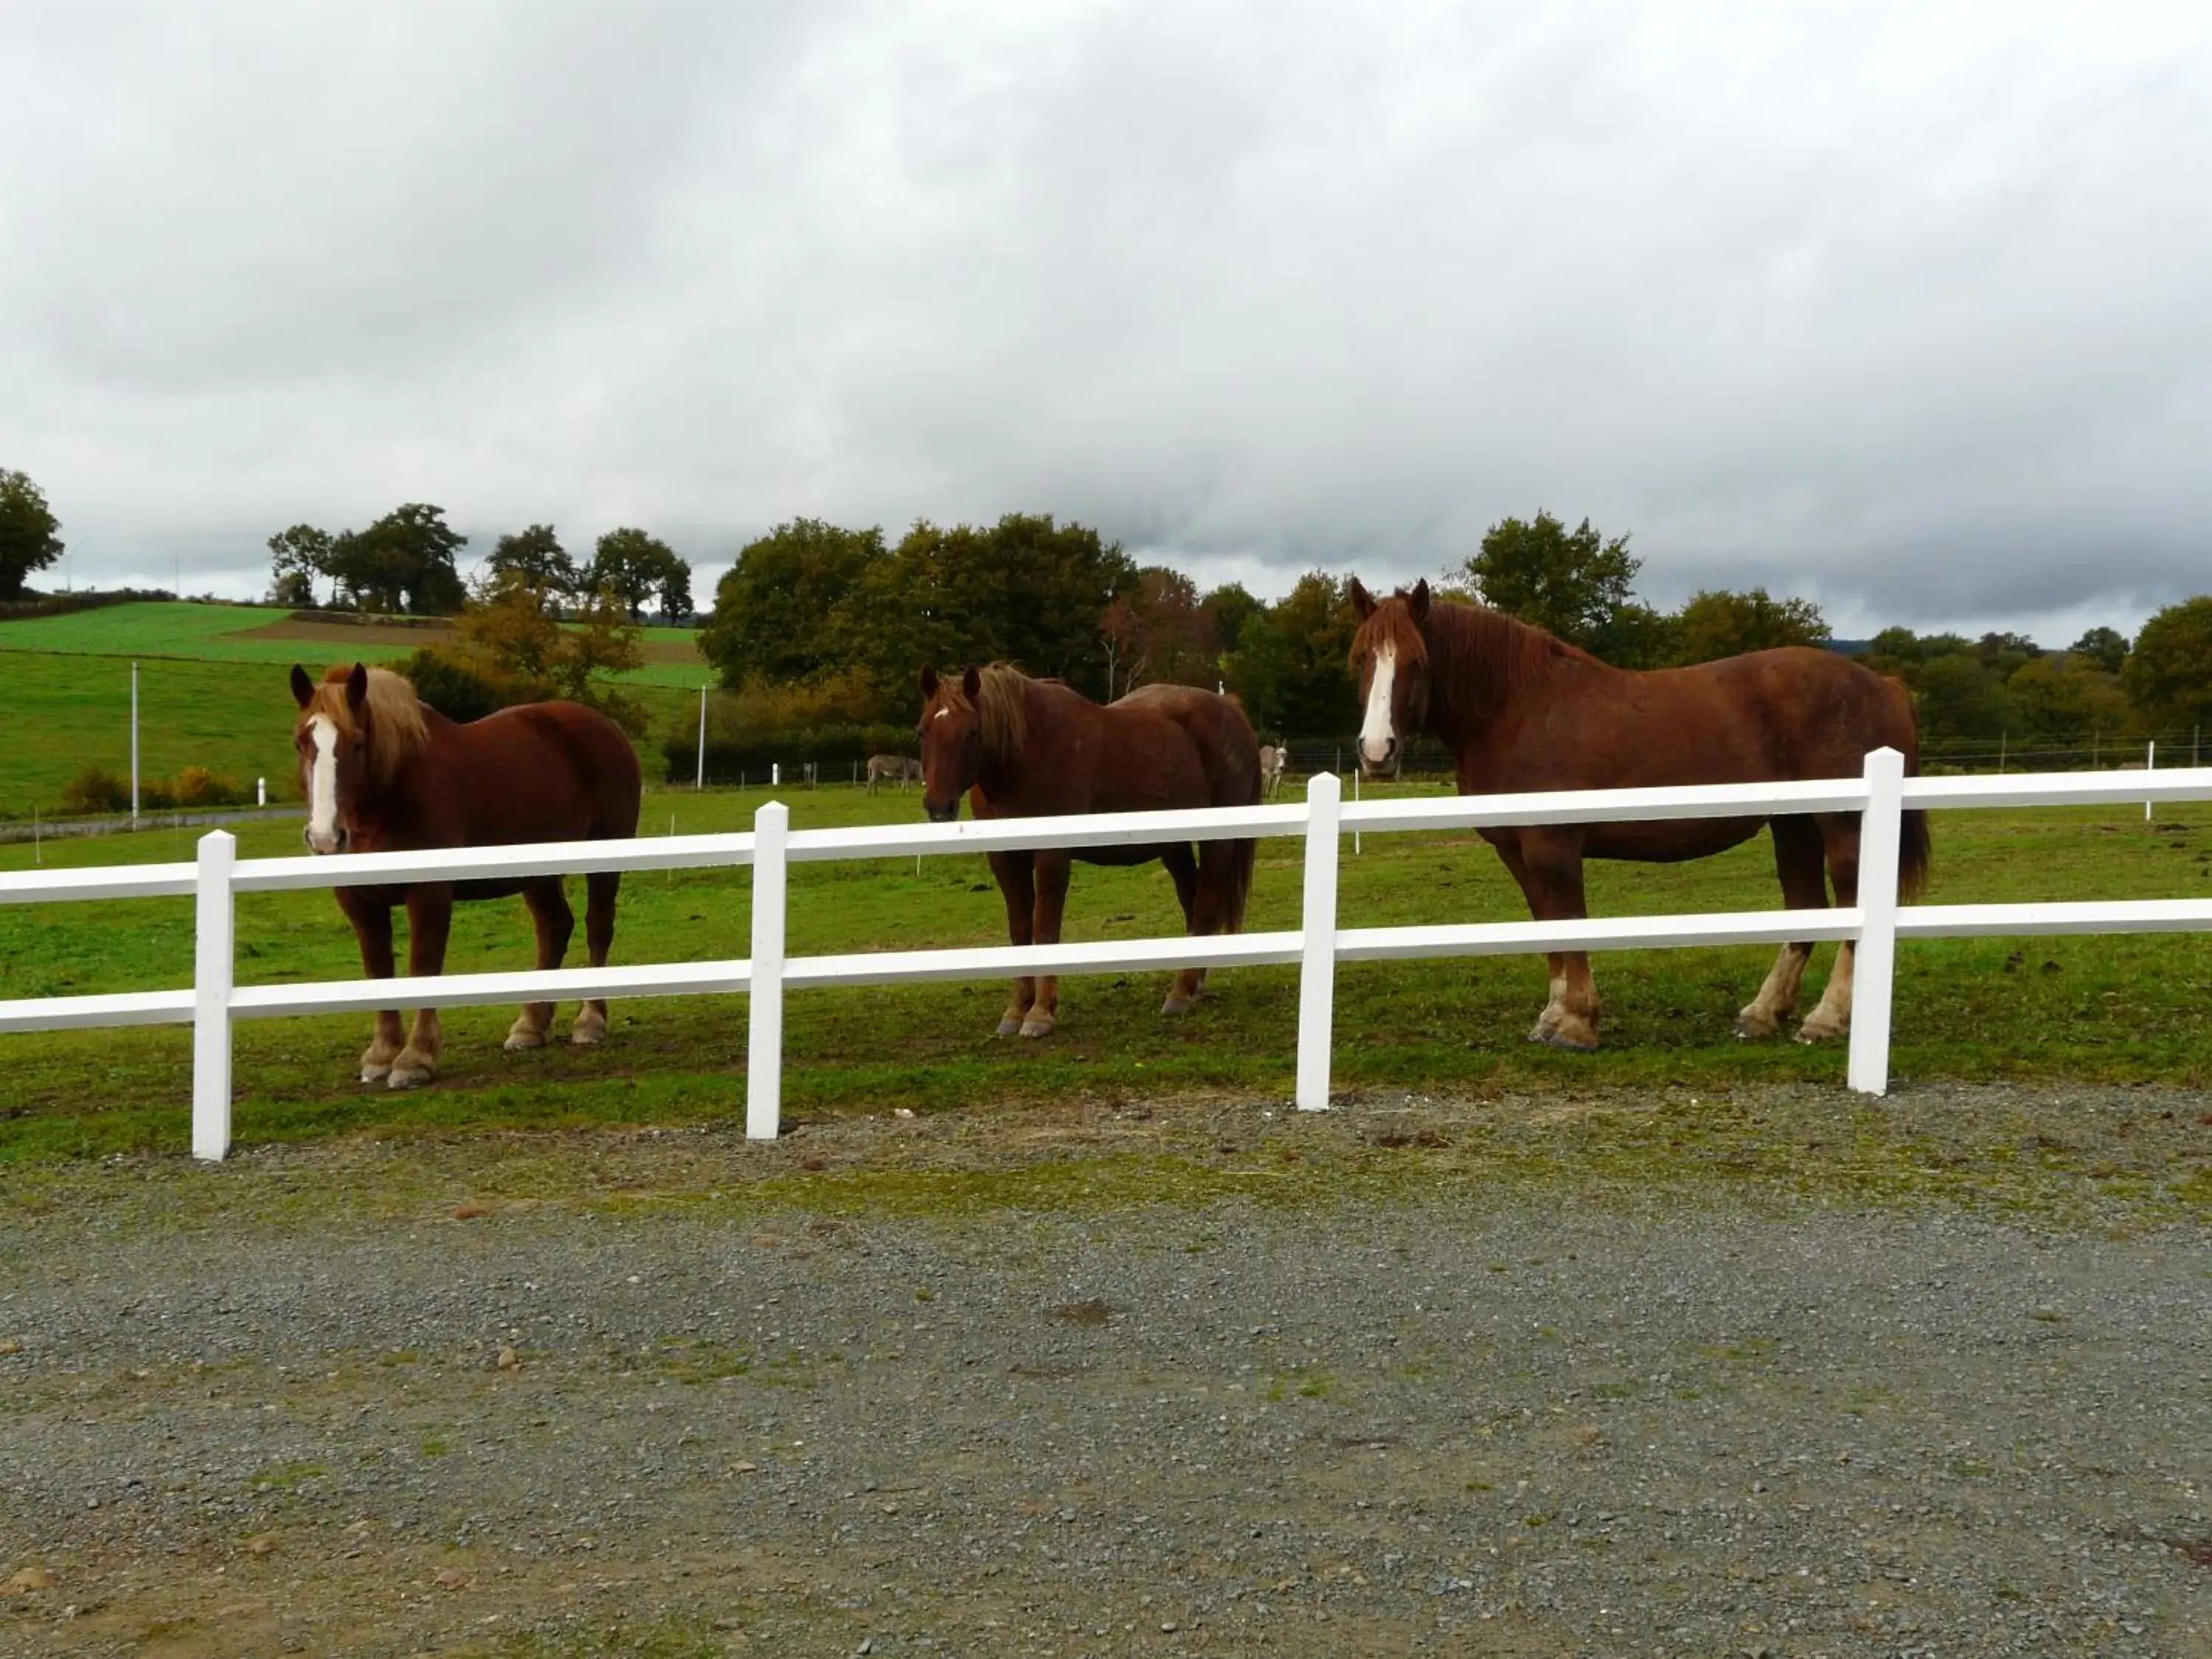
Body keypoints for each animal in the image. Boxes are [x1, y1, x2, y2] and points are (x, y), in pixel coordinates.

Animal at [290, 664, 646, 1093]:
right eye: (301, 743)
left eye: (357, 743)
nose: (325, 838)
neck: (394, 793)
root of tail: (609, 729)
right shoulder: (359, 901)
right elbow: (378, 969)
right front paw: (381, 1055)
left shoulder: (429, 896)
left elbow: (423, 967)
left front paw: (415, 1059)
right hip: (539, 874)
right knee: (555, 928)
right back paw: (530, 1026)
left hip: (604, 861)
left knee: (597, 928)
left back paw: (590, 1021)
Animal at [916, 668, 1265, 1040]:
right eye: (922, 731)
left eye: (971, 732)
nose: (938, 807)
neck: (1027, 753)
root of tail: (1231, 711)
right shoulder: (1006, 859)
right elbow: (1020, 931)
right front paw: (1015, 1011)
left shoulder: (1051, 855)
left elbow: (1046, 930)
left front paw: (1040, 1013)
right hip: (1174, 845)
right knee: (1192, 900)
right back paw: (1193, 985)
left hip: (1217, 842)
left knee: (1205, 905)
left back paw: (1181, 992)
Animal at [1336, 584, 1929, 1053]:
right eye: (1362, 658)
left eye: (1417, 662)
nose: (1377, 751)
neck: (1517, 710)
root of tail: (1883, 685)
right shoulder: (1518, 852)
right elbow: (1548, 928)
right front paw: (1552, 1018)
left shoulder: (1553, 847)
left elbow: (1570, 926)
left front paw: (1577, 1024)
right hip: (1794, 825)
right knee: (1806, 910)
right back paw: (1762, 1014)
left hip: (1842, 825)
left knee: (1851, 910)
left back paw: (1826, 1019)